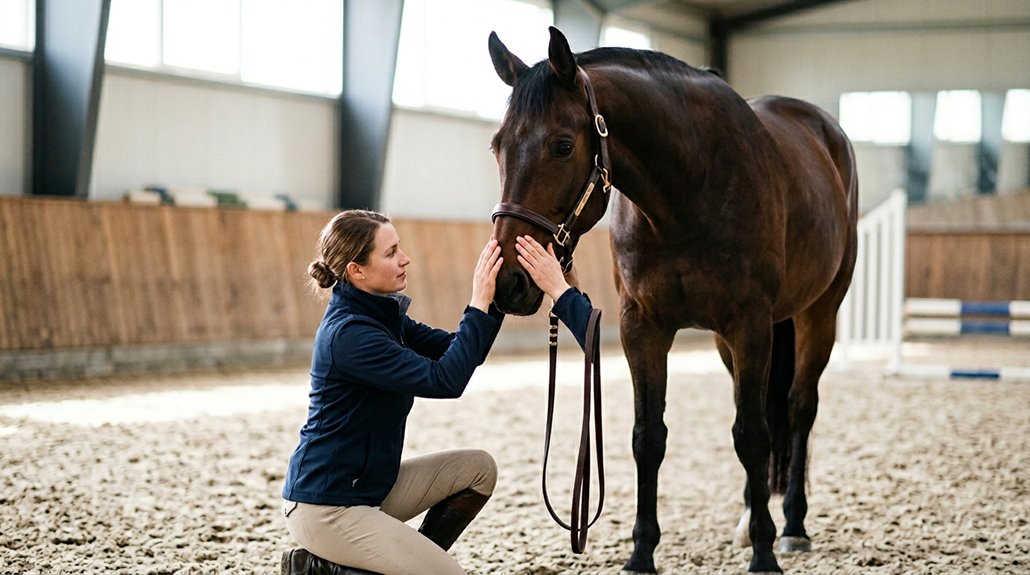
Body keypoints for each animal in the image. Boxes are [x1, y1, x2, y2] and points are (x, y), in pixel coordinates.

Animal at [487, 27, 858, 574]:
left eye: (562, 145)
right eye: (497, 146)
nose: (509, 281)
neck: (689, 189)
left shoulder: (750, 324)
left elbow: (752, 435)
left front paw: (765, 554)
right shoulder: (644, 327)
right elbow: (649, 438)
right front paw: (642, 553)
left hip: (817, 314)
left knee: (796, 410)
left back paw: (791, 526)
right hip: (733, 342)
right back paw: (750, 518)